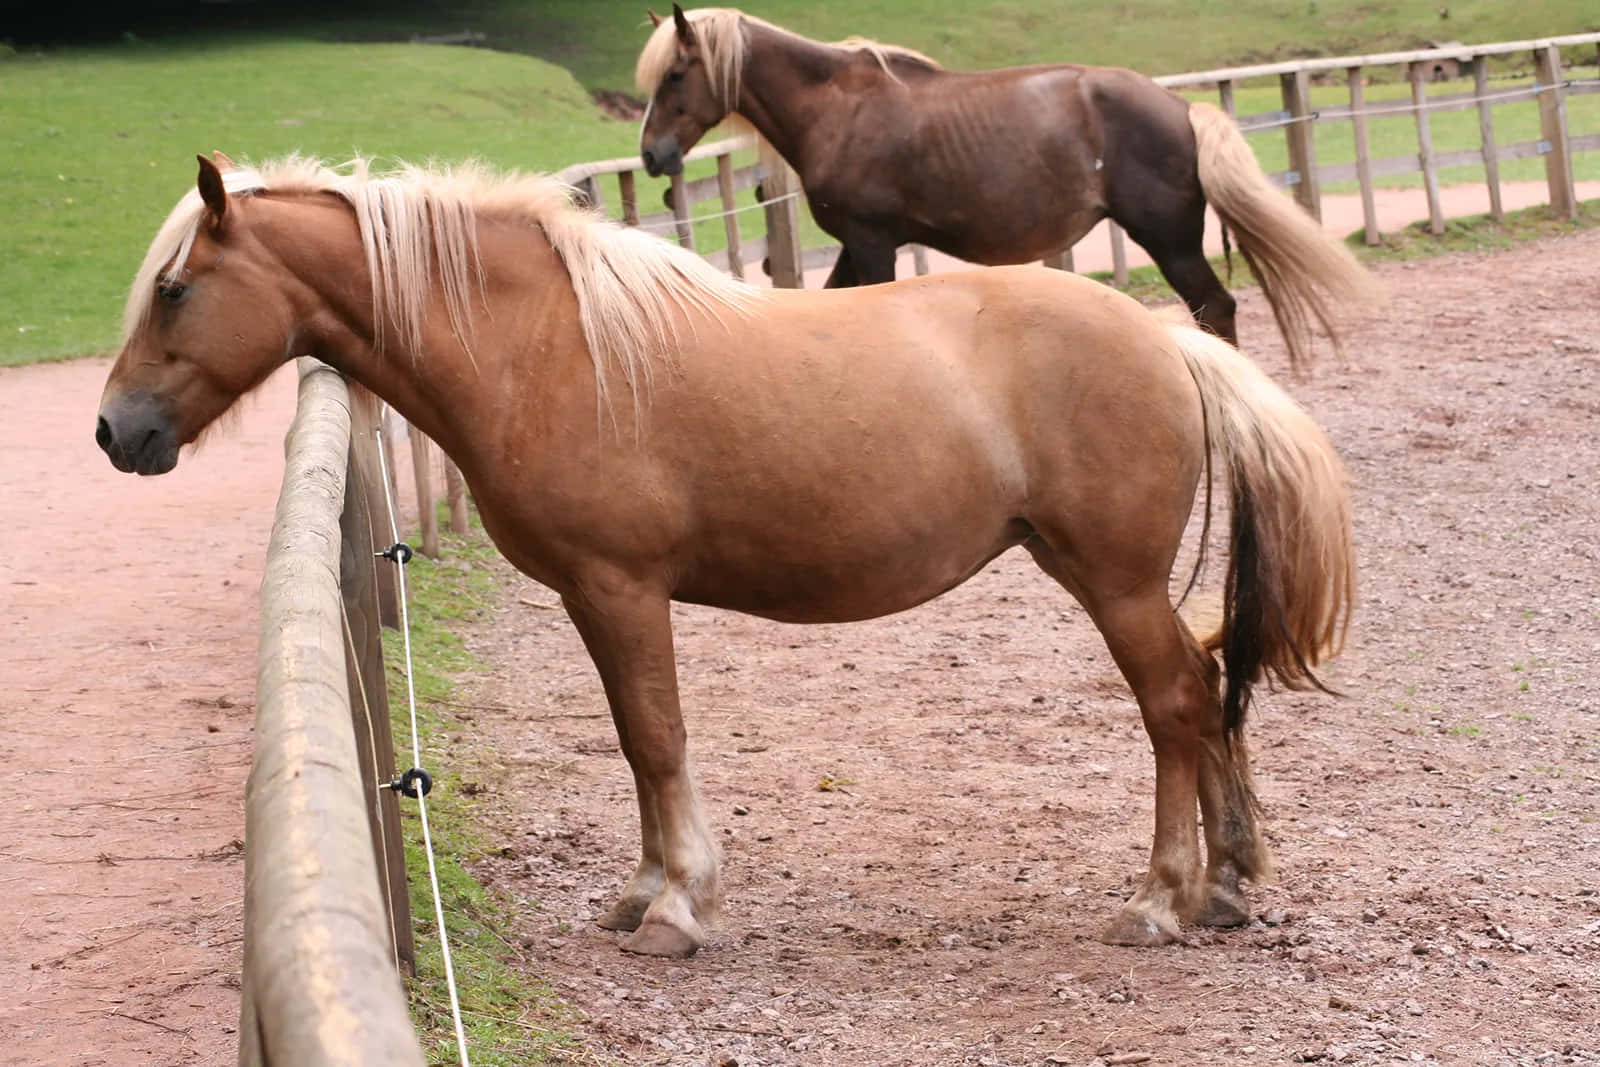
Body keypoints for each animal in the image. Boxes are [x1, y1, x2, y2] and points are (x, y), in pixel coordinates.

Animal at [97, 154, 1354, 958]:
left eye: (175, 288)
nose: (116, 431)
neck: (546, 344)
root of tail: (1169, 340)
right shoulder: (592, 596)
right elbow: (635, 739)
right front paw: (646, 891)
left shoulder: (620, 587)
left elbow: (655, 736)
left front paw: (675, 909)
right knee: (1209, 687)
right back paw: (1228, 883)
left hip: (1113, 581)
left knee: (1175, 705)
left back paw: (1164, 898)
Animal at [635, 4, 1378, 372]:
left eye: (675, 73)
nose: (651, 155)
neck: (837, 108)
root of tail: (1177, 107)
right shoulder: (855, 245)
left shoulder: (874, 244)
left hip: (1169, 241)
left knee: (1215, 309)